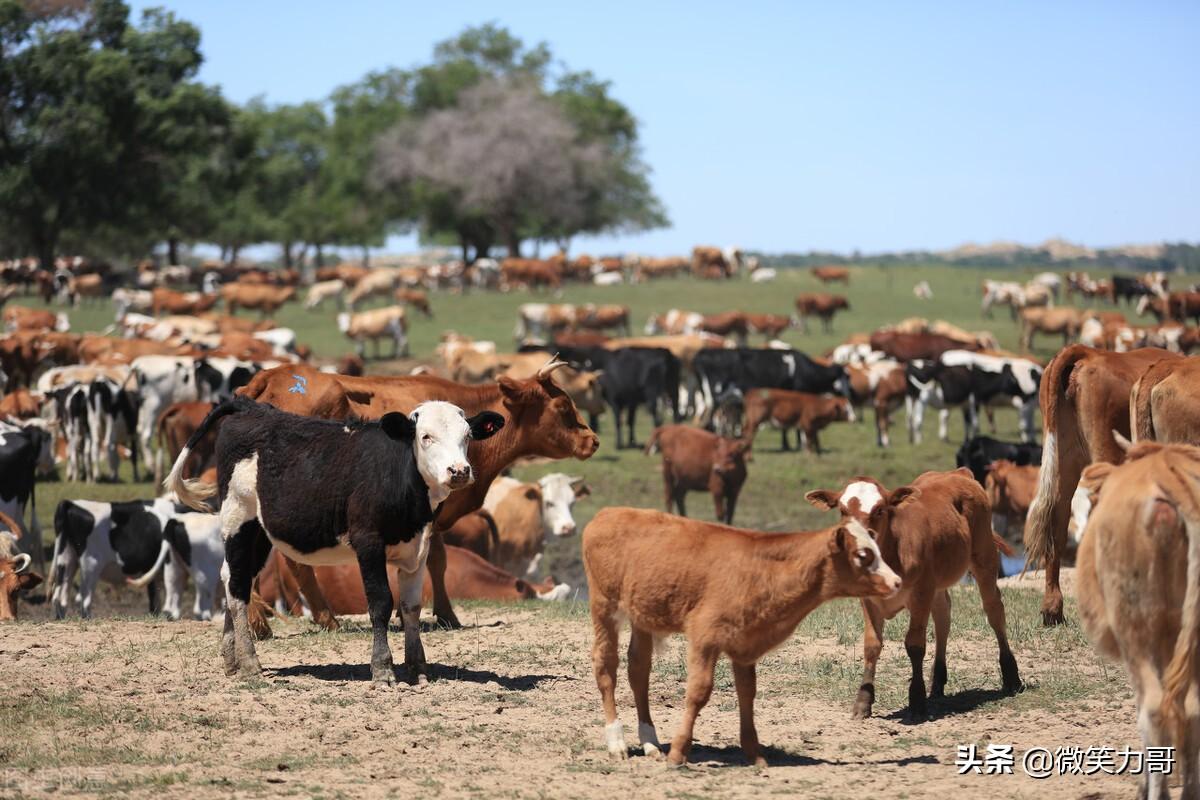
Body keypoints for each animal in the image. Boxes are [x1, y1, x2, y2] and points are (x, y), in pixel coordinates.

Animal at [166, 398, 504, 686]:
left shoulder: (418, 549)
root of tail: (250, 406)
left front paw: (418, 667)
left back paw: (230, 658)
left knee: (235, 578)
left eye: (467, 436)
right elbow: (381, 603)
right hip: (239, 519)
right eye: (426, 437)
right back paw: (249, 663)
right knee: (237, 586)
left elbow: (411, 607)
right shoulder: (368, 542)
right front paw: (383, 669)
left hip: (261, 534)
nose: (458, 471)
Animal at [231, 362, 597, 633]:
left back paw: (259, 623)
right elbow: (437, 559)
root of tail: (270, 377)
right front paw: (447, 615)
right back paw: (316, 619)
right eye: (563, 406)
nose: (592, 440)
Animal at [580, 510, 902, 767]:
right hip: (605, 608)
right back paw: (617, 741)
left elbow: (747, 694)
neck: (764, 570)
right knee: (606, 667)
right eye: (863, 556)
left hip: (641, 618)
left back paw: (650, 742)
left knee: (639, 671)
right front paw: (679, 753)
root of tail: (609, 513)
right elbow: (698, 693)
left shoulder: (745, 645)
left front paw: (755, 754)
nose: (897, 581)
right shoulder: (705, 638)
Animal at [806, 472, 1022, 724]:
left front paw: (917, 700)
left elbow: (915, 645)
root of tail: (958, 473)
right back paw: (937, 681)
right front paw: (863, 701)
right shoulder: (870, 600)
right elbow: (872, 645)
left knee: (994, 610)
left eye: (880, 509)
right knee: (943, 619)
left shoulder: (920, 594)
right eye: (842, 510)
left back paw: (1011, 676)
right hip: (937, 584)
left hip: (984, 557)